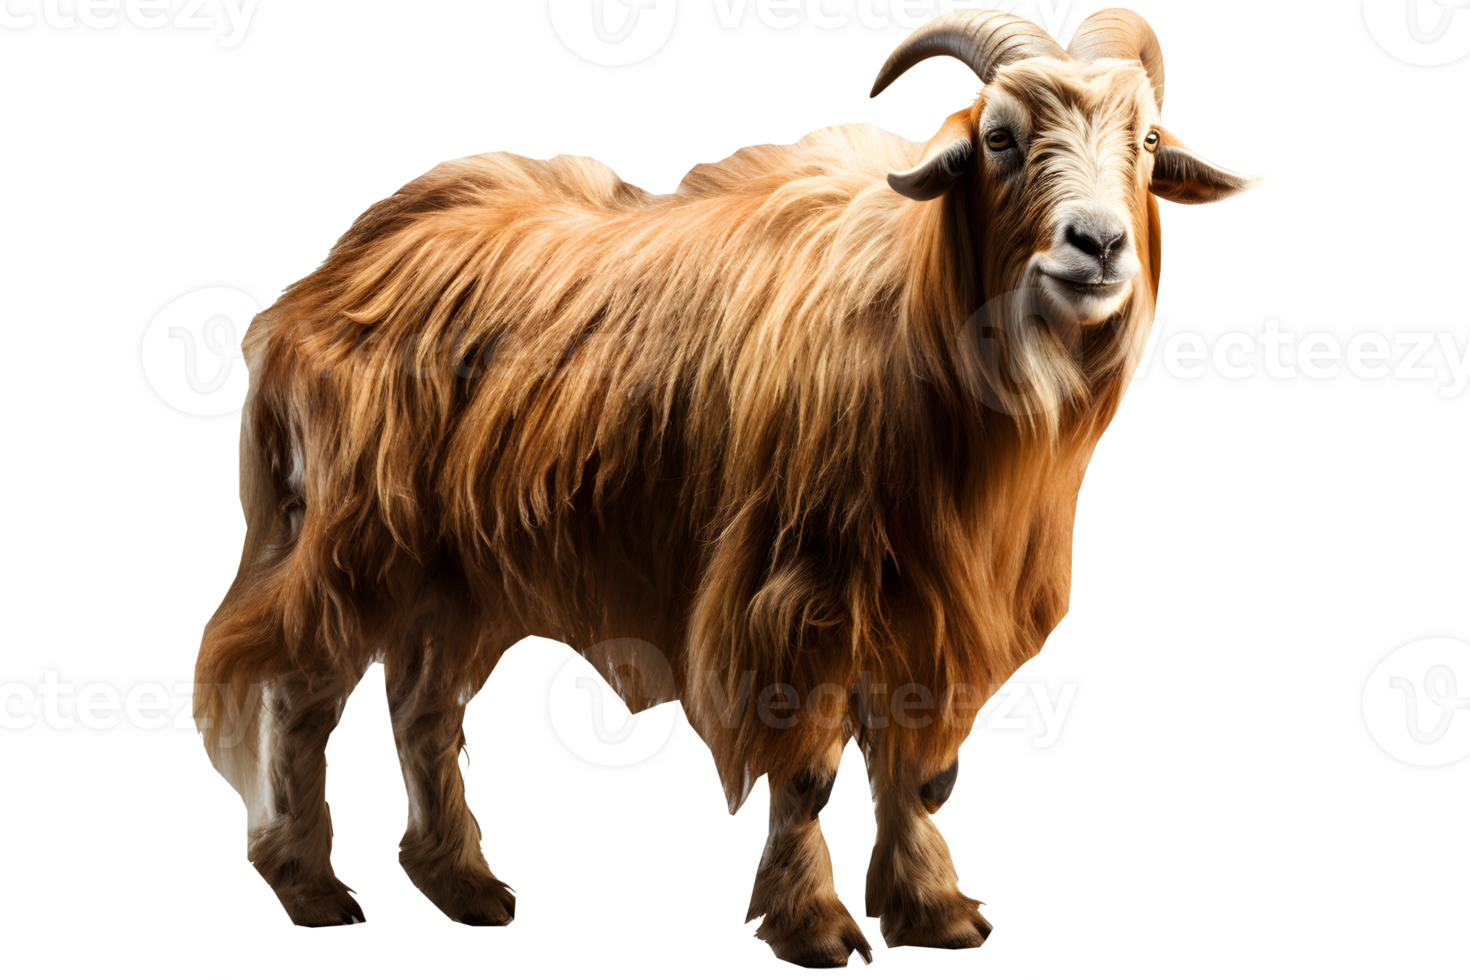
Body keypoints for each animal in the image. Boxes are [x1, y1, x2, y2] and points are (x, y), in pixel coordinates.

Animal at [192, 6, 1267, 965]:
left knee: (422, 706)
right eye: (999, 137)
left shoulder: (938, 612)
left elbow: (915, 770)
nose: (1098, 243)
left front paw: (931, 909)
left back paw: (463, 884)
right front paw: (817, 928)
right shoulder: (790, 599)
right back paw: (314, 888)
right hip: (354, 532)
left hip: (461, 566)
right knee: (300, 686)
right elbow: (809, 772)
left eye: (1148, 141)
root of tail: (322, 283)